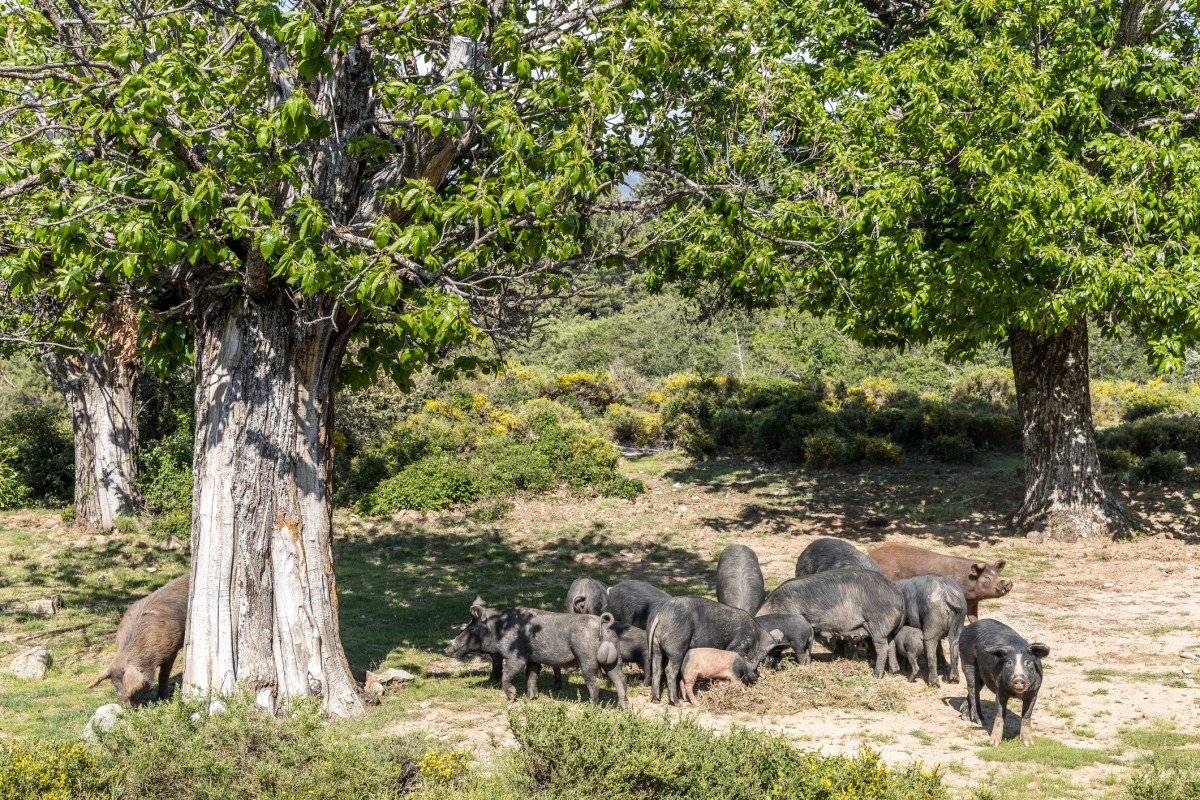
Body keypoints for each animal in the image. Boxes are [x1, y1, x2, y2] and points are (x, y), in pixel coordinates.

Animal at [88, 575, 188, 705]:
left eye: (135, 689)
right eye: (116, 686)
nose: (122, 707)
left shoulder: (171, 649)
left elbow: (163, 675)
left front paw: (164, 701)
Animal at [868, 542, 1008, 623]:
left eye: (998, 575)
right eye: (987, 577)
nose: (1008, 583)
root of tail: (871, 552)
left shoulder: (973, 602)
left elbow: (973, 618)